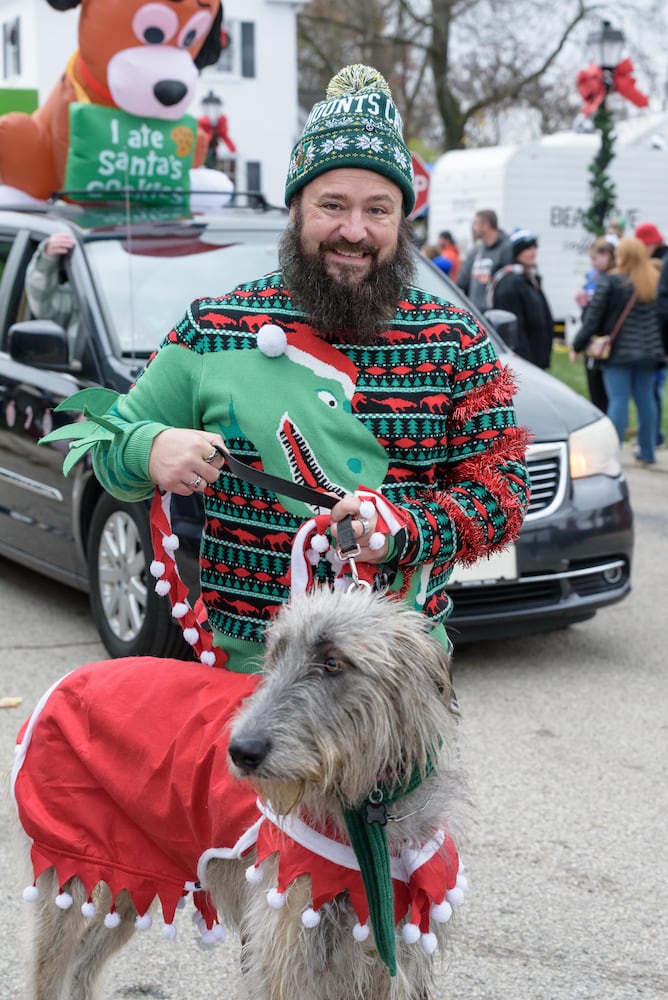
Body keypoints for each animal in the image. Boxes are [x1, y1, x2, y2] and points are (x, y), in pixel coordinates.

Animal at [13, 584, 468, 1000]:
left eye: (333, 662)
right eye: (274, 656)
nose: (240, 752)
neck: (368, 815)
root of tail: (68, 678)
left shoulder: (390, 947)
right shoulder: (290, 941)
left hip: (133, 872)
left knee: (84, 964)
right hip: (71, 861)